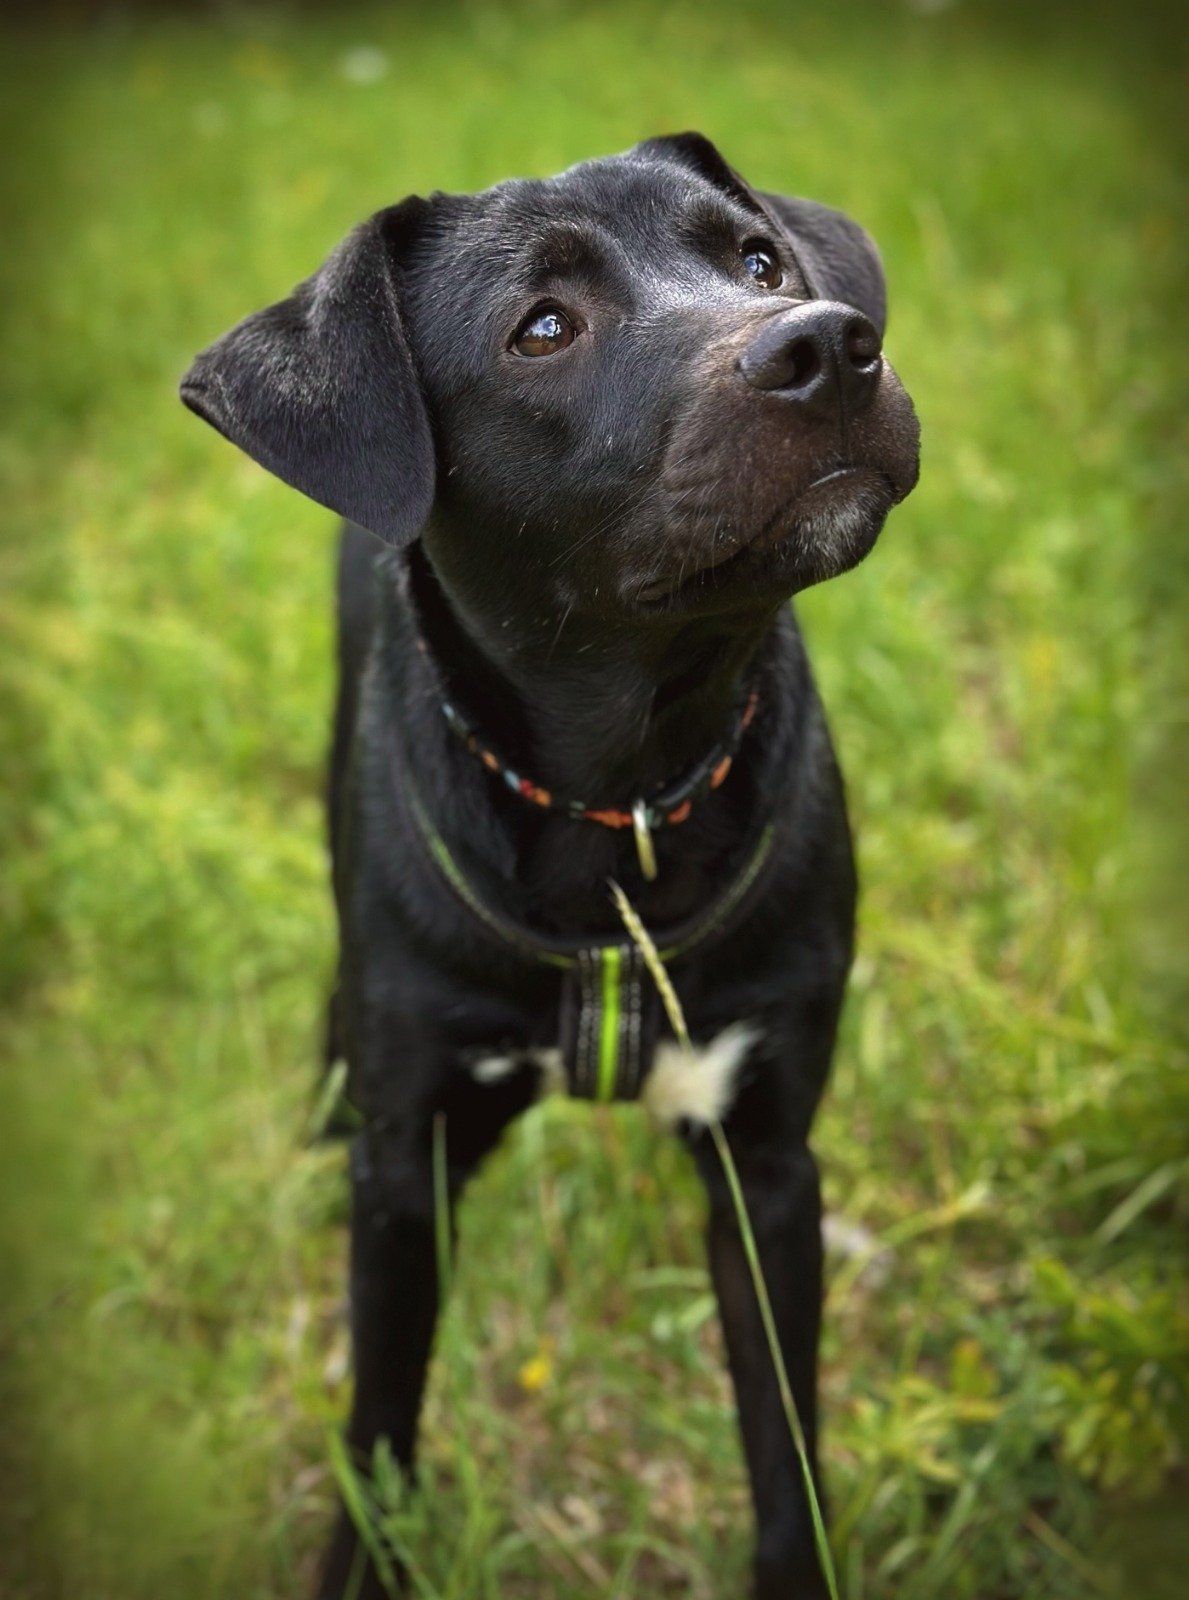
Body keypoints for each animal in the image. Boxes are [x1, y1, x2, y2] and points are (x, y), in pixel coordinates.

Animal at [181, 132, 919, 1599]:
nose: (826, 343)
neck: (618, 800)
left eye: (757, 258)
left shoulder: (767, 1157)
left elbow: (783, 1431)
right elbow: (382, 1413)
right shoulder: (408, 1171)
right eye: (543, 329)